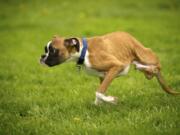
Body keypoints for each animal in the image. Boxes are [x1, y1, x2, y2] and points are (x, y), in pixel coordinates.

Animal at [40, 31, 179, 105]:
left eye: (53, 50)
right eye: (46, 49)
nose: (42, 57)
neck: (83, 52)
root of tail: (129, 36)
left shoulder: (116, 66)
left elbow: (99, 91)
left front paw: (111, 100)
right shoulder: (104, 76)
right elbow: (101, 91)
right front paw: (99, 104)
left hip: (143, 54)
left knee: (157, 66)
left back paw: (149, 67)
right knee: (150, 73)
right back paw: (144, 68)